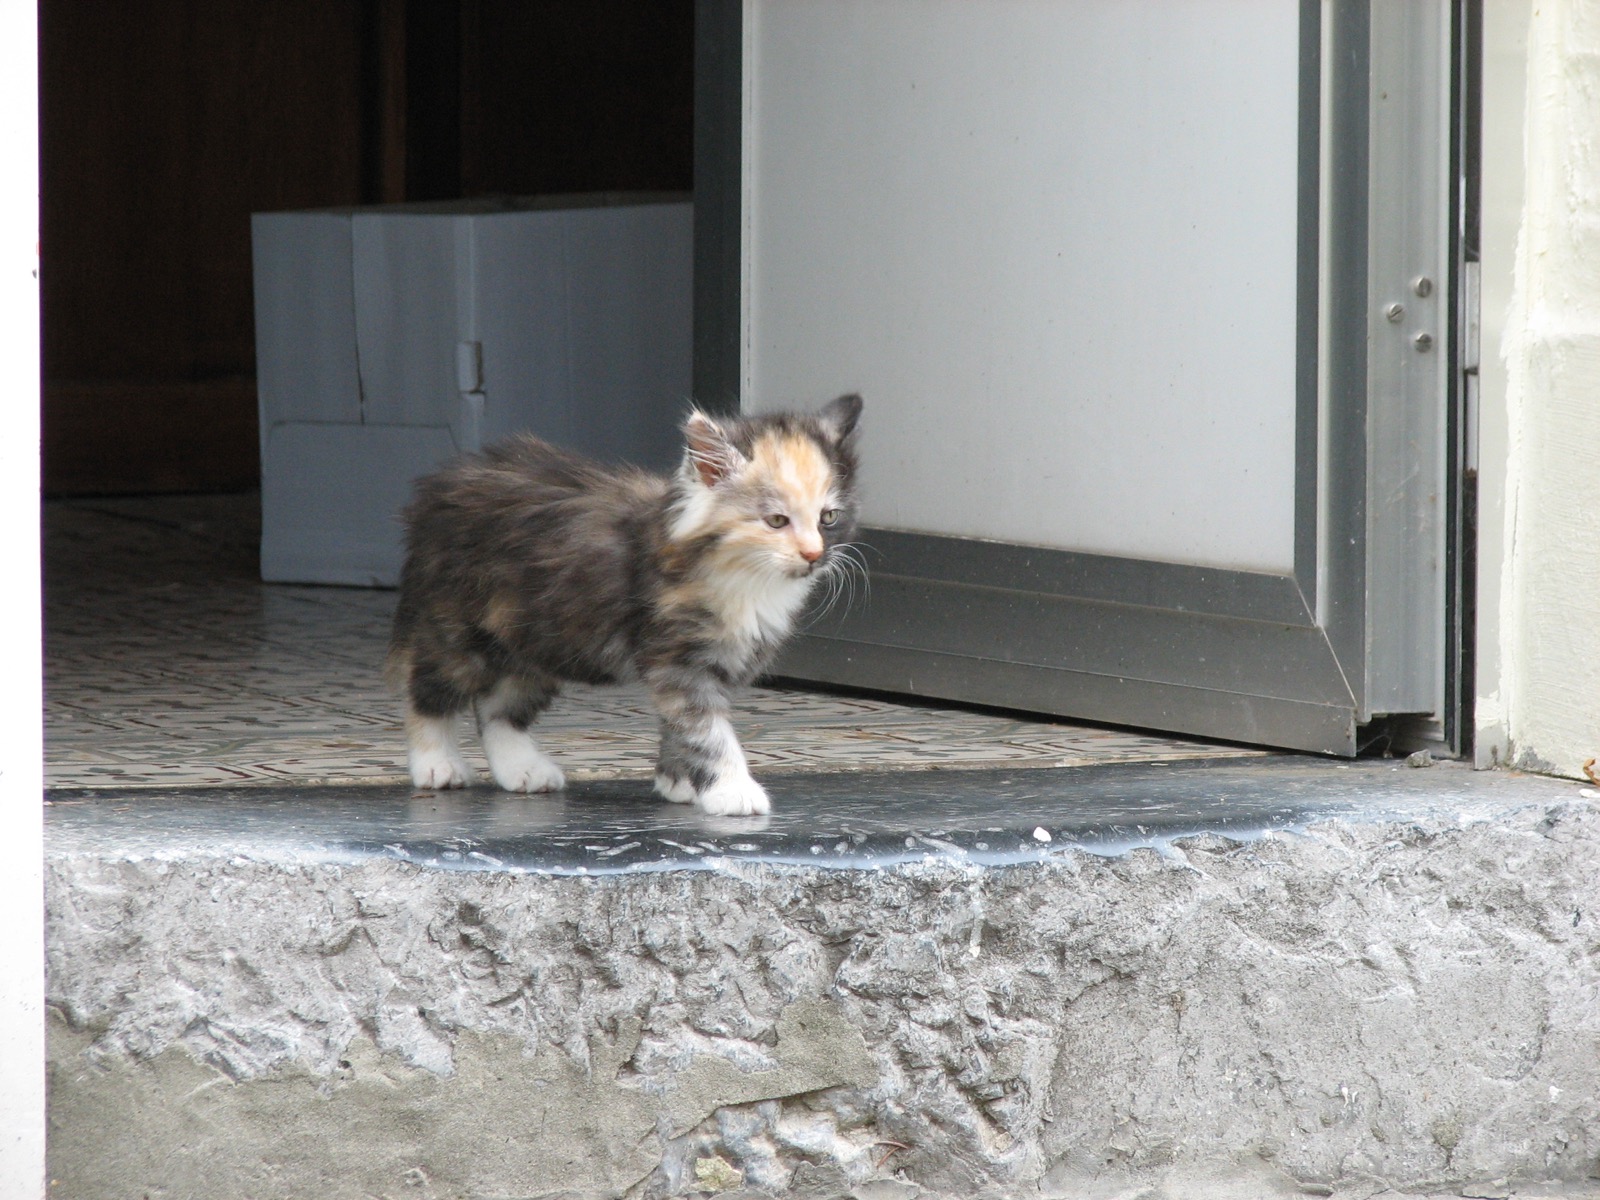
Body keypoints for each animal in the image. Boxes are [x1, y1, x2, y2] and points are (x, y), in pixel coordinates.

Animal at [387, 393, 863, 817]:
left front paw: (679, 781)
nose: (813, 555)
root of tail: (441, 488)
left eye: (828, 518)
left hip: (537, 636)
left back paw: (521, 768)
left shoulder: (717, 661)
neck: (746, 580)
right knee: (426, 688)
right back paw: (436, 762)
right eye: (777, 521)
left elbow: (680, 725)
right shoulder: (680, 659)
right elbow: (708, 730)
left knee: (498, 708)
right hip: (458, 626)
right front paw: (732, 790)